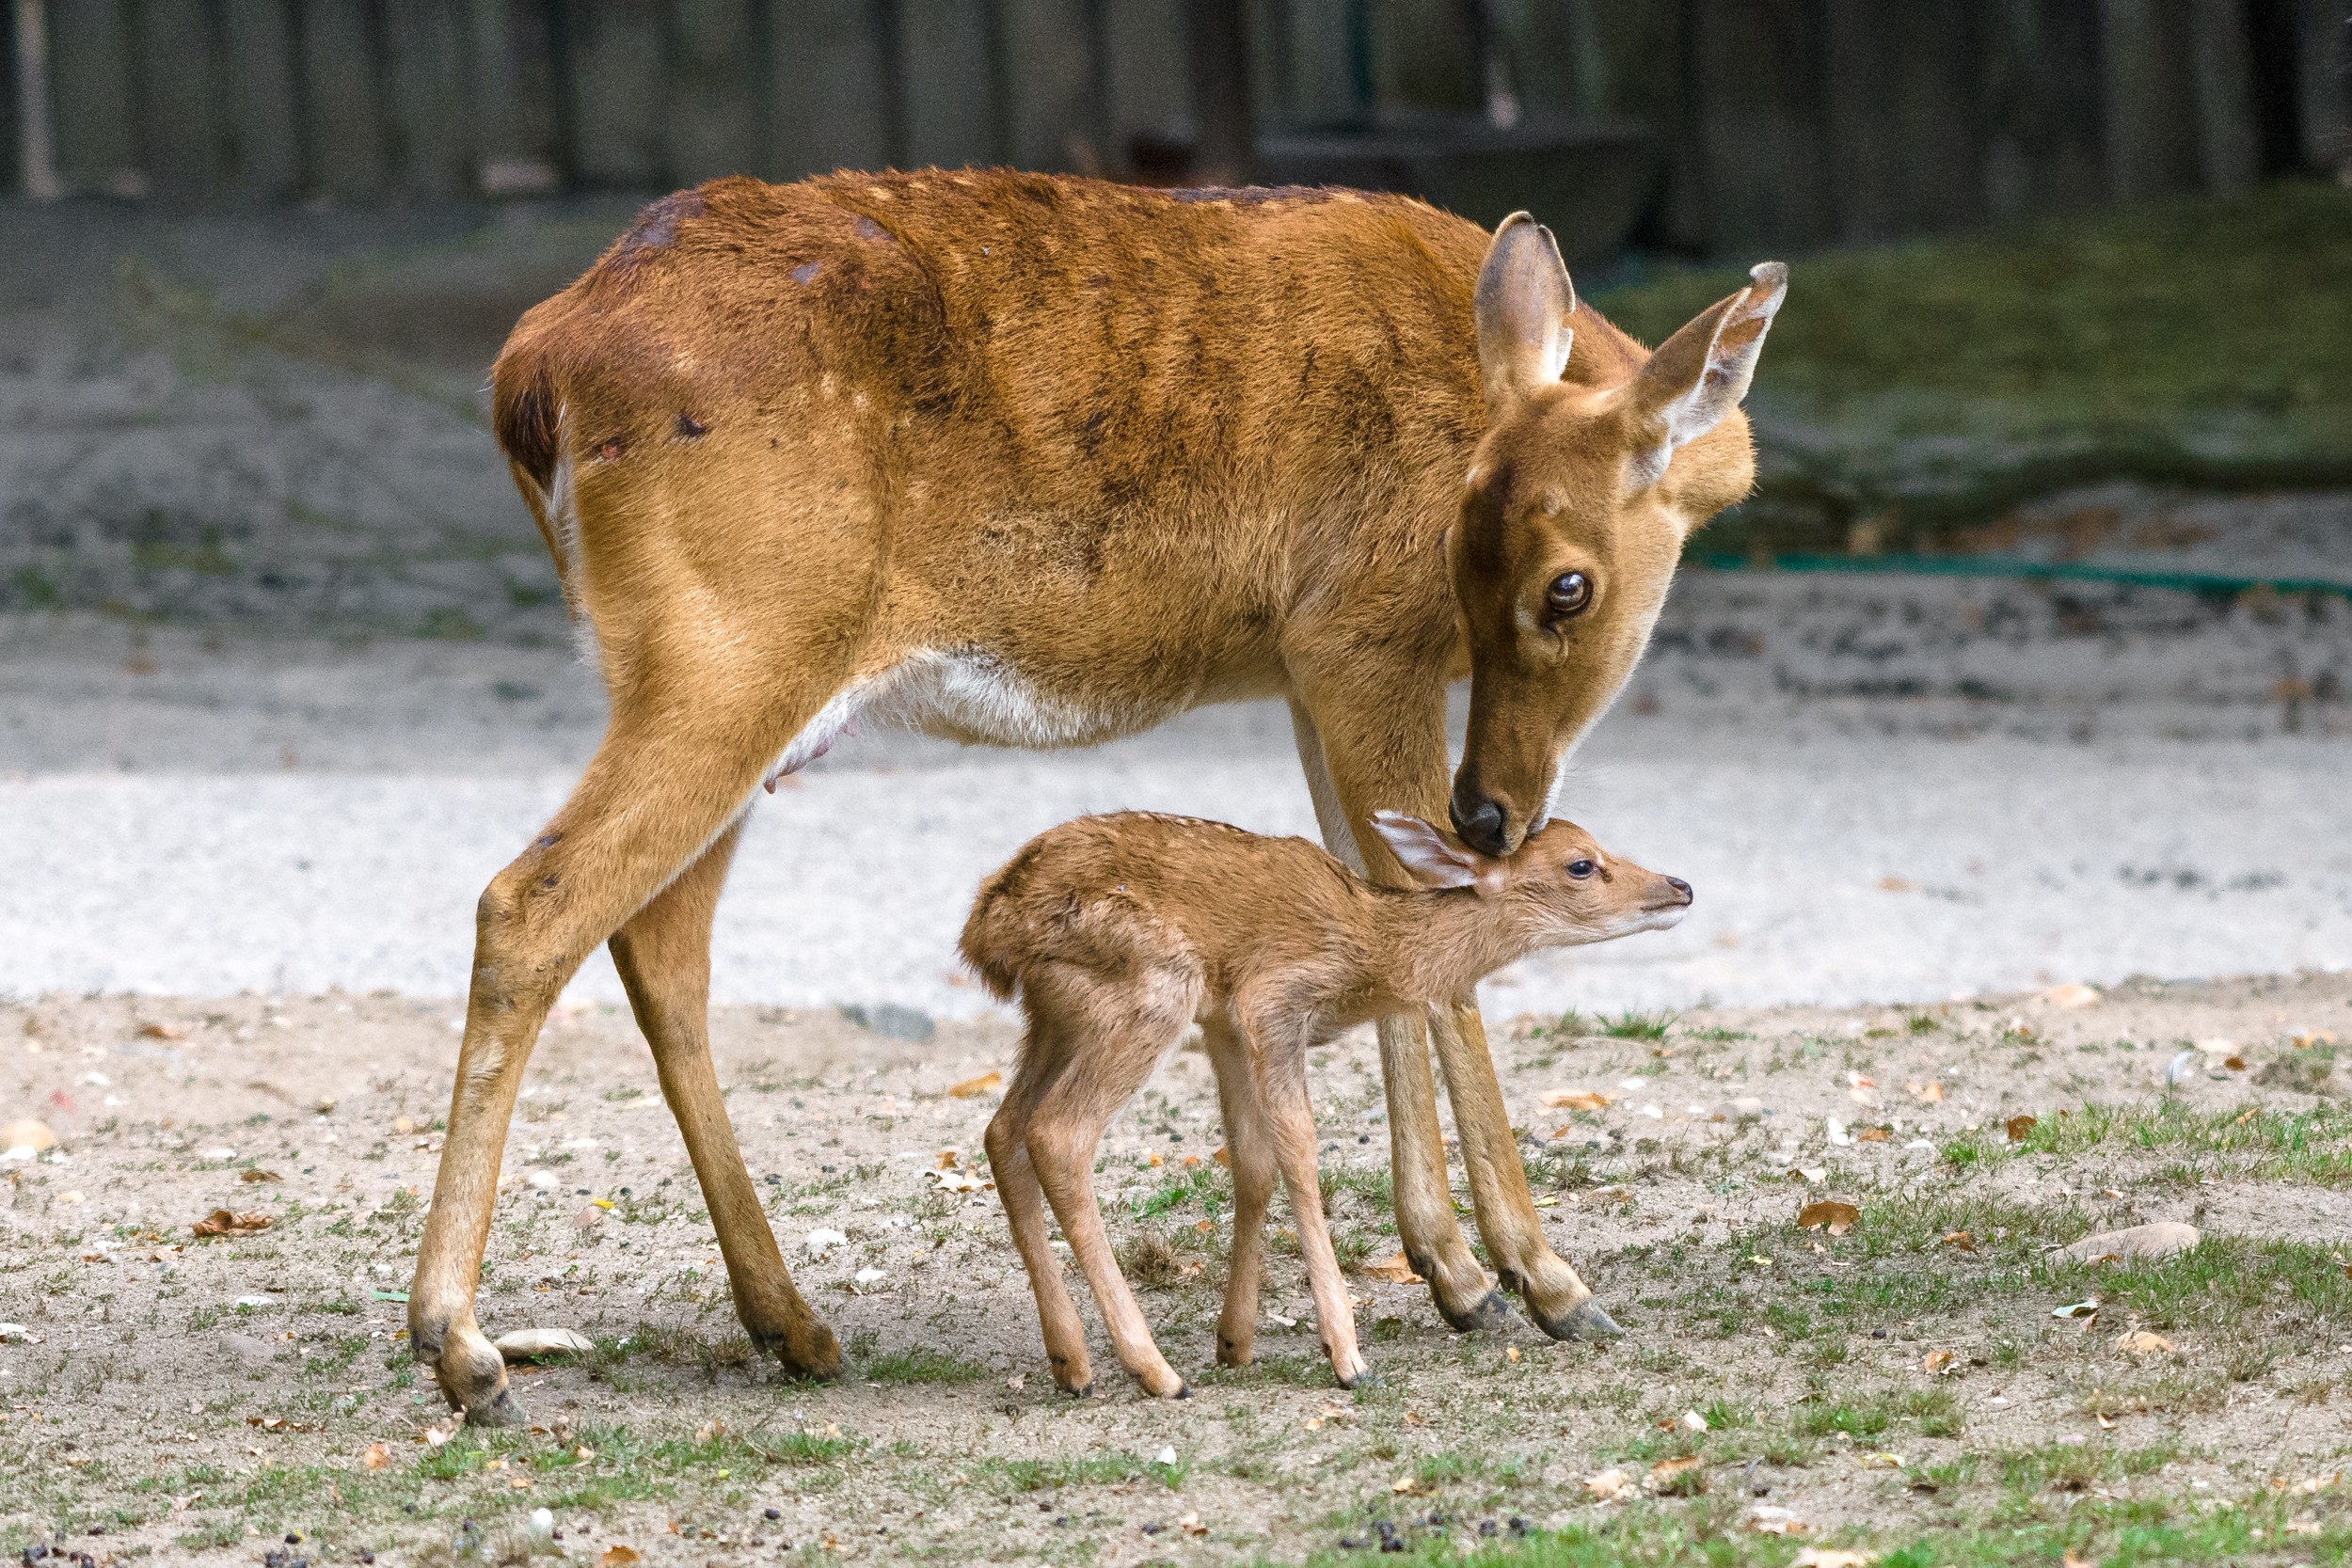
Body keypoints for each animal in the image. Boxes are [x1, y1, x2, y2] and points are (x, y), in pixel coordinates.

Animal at [419, 171, 1778, 1419]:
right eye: (1557, 582)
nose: (1496, 807)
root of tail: (530, 374)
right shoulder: (1356, 633)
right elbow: (1423, 919)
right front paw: (1540, 1279)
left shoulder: (1309, 669)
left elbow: (1373, 896)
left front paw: (1452, 1269)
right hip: (732, 644)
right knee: (532, 901)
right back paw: (464, 1345)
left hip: (726, 679)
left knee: (658, 940)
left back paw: (792, 1324)